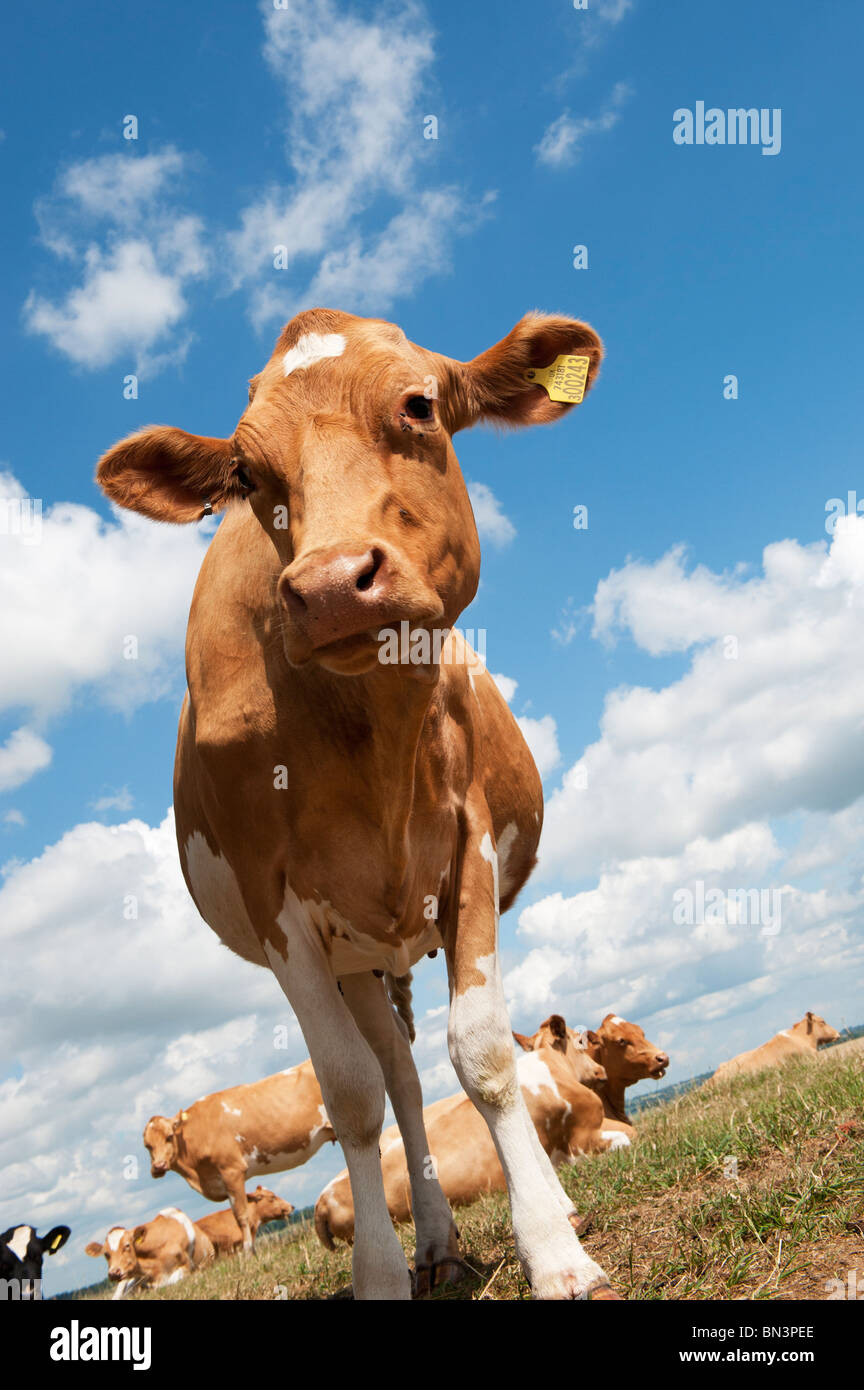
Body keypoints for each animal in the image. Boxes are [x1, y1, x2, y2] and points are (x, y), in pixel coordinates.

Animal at [143, 1061, 333, 1251]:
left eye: (169, 1137)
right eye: (147, 1146)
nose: (159, 1166)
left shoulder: (232, 1171)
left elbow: (241, 1216)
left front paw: (248, 1251)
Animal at [315, 1011, 633, 1251]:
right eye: (580, 1041)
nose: (600, 1071)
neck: (553, 1070)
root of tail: (321, 1201)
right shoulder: (583, 1136)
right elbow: (629, 1136)